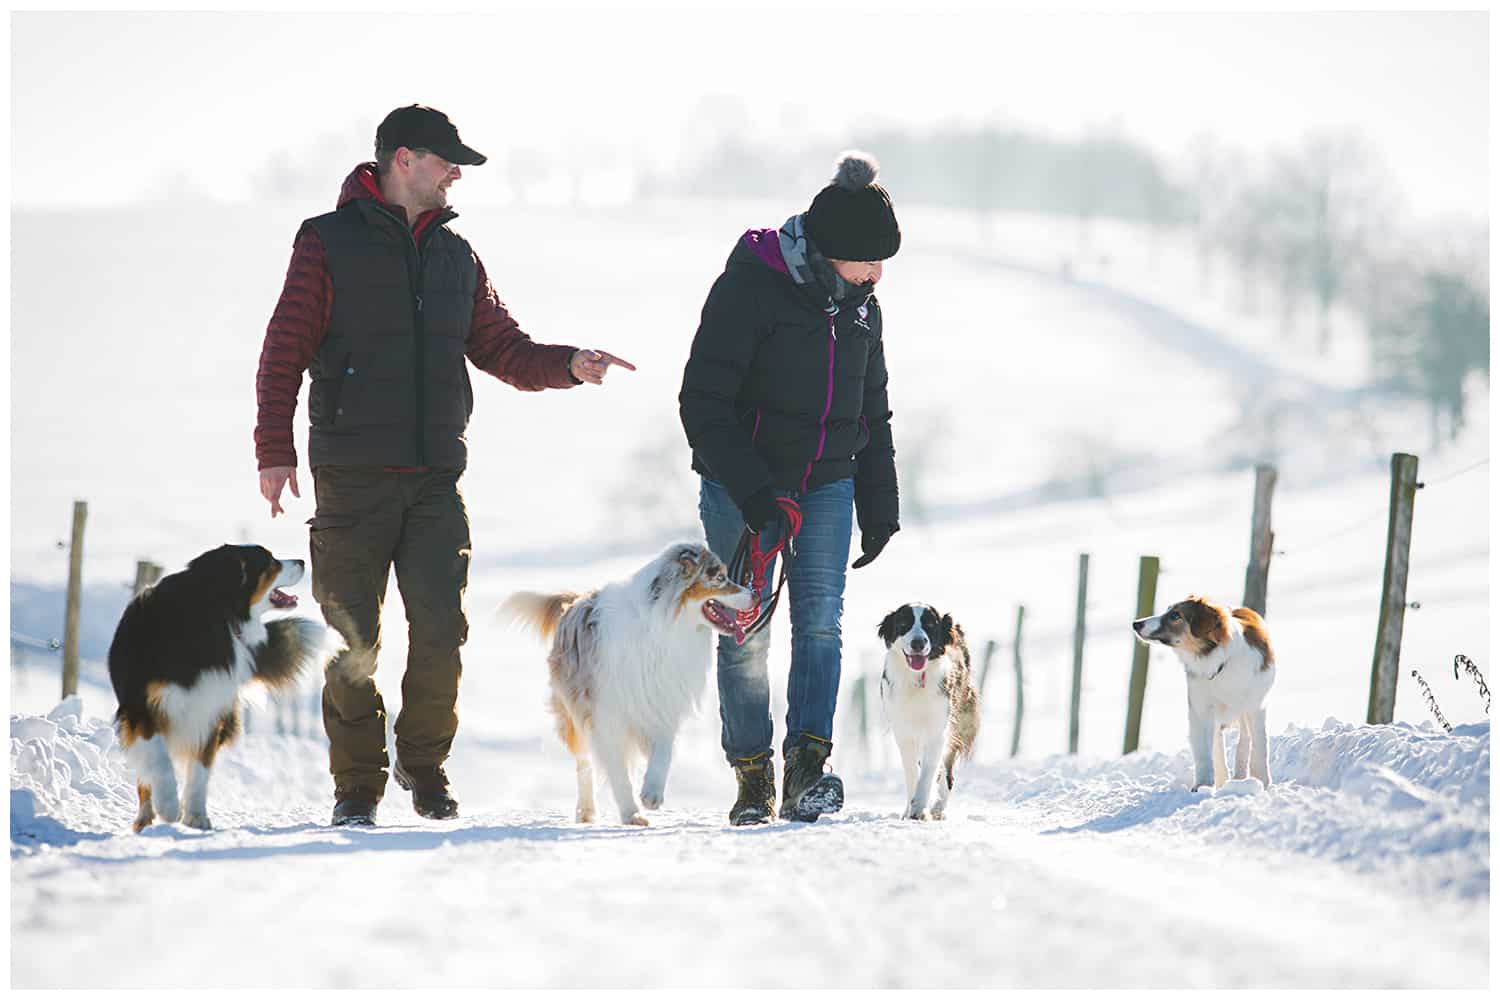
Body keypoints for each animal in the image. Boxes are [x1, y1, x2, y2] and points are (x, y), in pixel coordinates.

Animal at [106, 542, 328, 833]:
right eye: (270, 562)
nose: (302, 561)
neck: (211, 615)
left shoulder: (211, 707)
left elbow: (200, 769)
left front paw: (196, 817)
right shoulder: (140, 706)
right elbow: (159, 758)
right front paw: (169, 806)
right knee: (146, 772)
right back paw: (146, 818)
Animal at [498, 542, 756, 827]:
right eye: (719, 577)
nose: (755, 595)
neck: (662, 626)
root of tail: (576, 600)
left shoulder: (662, 700)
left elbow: (663, 749)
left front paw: (652, 793)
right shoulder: (606, 714)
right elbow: (618, 771)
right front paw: (631, 812)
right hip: (573, 709)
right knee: (584, 763)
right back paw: (586, 810)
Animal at [876, 602, 984, 821]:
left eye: (930, 625)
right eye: (904, 624)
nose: (918, 643)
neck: (917, 679)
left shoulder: (937, 729)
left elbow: (928, 772)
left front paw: (920, 809)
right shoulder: (904, 731)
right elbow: (912, 772)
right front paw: (911, 809)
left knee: (947, 774)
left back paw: (938, 808)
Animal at [1134, 599, 1278, 791]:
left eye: (1175, 615)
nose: (1136, 624)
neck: (1216, 661)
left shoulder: (1255, 706)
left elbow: (1259, 745)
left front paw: (1262, 781)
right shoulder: (1201, 710)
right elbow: (1205, 752)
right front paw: (1203, 786)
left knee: (1245, 739)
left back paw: (1240, 778)